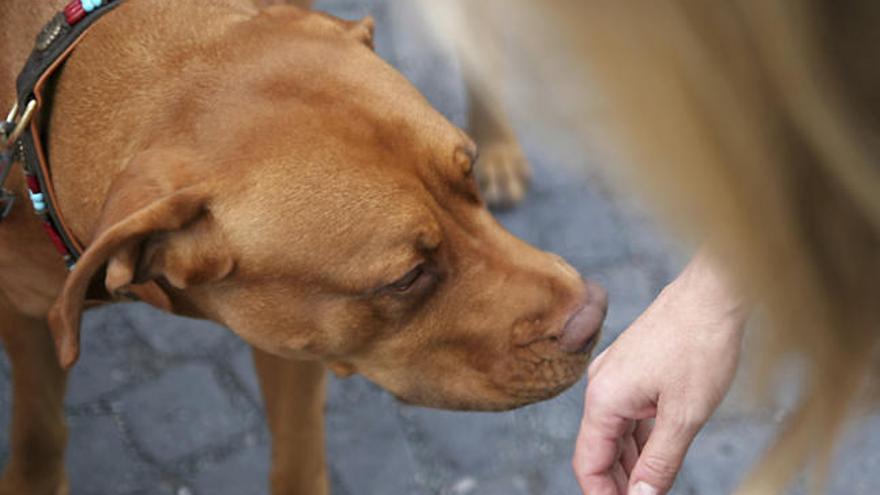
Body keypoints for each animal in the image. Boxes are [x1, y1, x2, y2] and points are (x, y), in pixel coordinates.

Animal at [0, 1, 604, 494]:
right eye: (405, 277)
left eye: (469, 172)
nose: (595, 317)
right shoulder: (26, 314)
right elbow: (38, 429)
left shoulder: (295, 349)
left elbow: (297, 460)